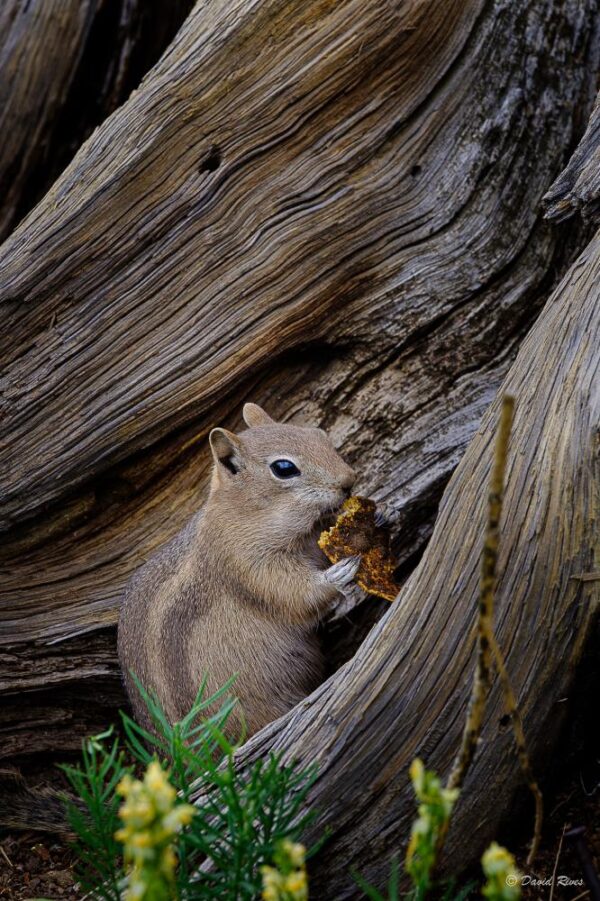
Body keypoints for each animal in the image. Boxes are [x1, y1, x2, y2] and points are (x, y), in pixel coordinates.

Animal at [118, 402, 360, 740]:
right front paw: (336, 576)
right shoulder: (245, 562)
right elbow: (292, 592)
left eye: (319, 434)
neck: (247, 514)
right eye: (284, 468)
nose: (349, 479)